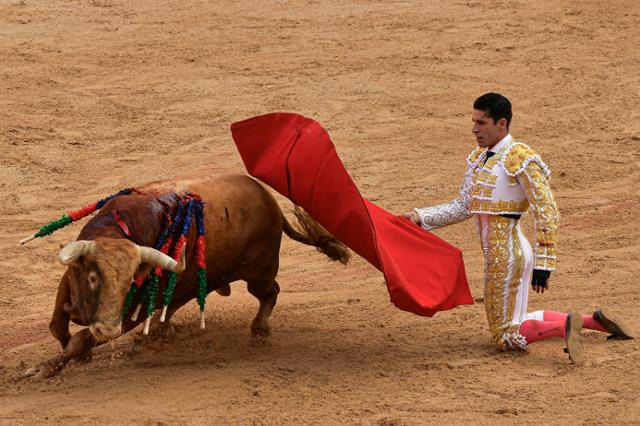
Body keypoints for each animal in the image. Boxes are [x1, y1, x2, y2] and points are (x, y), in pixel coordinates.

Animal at [22, 175, 350, 378]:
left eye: (130, 281)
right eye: (92, 277)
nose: (108, 329)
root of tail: (271, 202)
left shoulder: (133, 309)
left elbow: (79, 339)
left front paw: (44, 369)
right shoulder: (69, 281)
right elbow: (57, 326)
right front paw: (69, 358)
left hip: (260, 272)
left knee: (271, 292)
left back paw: (258, 331)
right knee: (173, 306)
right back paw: (154, 335)